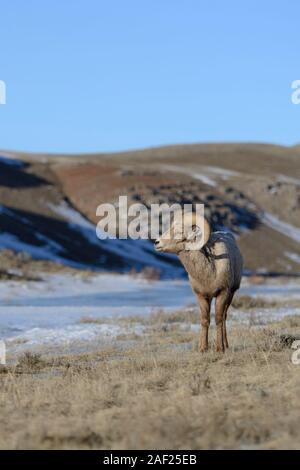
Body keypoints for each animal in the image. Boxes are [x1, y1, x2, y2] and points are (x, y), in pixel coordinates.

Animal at [156, 211, 243, 350]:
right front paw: (203, 348)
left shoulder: (223, 293)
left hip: (231, 294)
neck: (209, 272)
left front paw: (219, 349)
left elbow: (218, 319)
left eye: (180, 231)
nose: (156, 242)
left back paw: (226, 345)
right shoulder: (202, 296)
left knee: (224, 317)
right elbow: (205, 320)